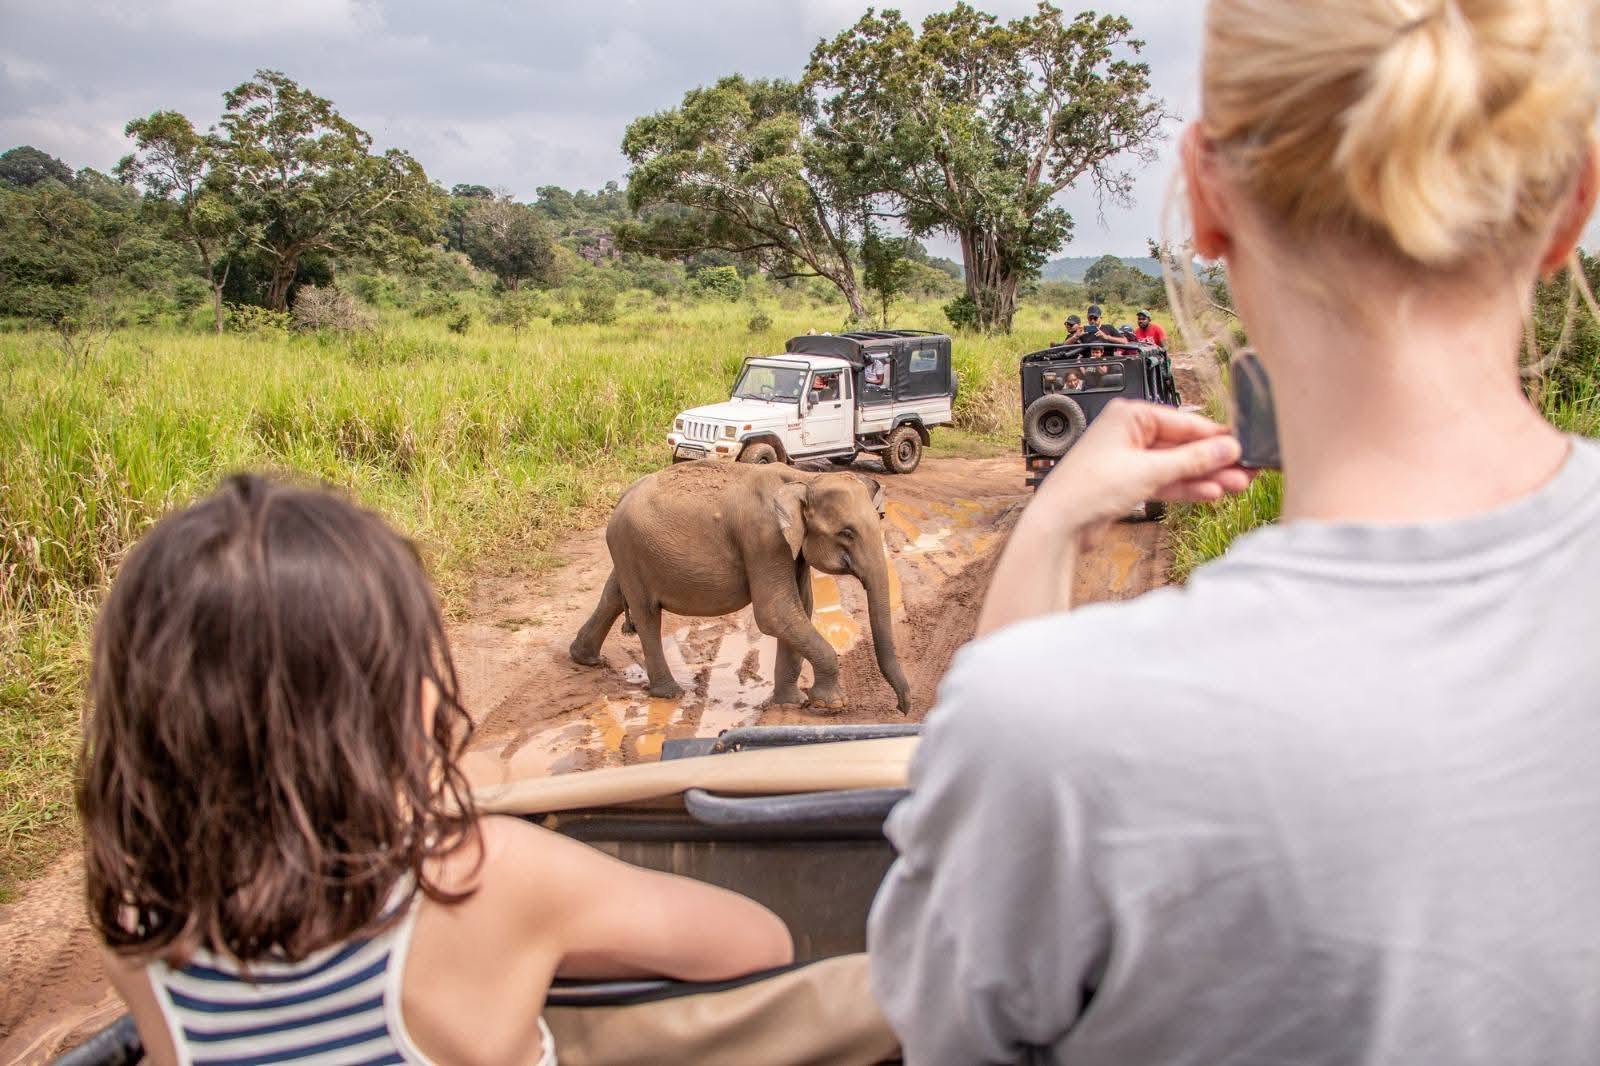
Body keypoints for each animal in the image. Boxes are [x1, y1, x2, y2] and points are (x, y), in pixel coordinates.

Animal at [569, 460, 912, 713]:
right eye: (847, 533)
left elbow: (800, 606)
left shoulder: (790, 547)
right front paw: (832, 704)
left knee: (614, 594)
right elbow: (775, 612)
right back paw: (670, 694)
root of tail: (621, 496)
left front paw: (790, 703)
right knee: (646, 614)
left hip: (629, 551)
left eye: (880, 518)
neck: (804, 478)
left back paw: (584, 658)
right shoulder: (764, 537)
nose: (902, 708)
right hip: (631, 546)